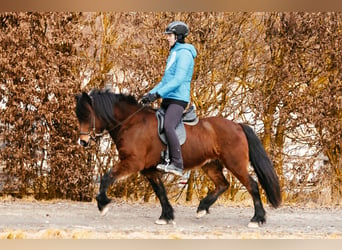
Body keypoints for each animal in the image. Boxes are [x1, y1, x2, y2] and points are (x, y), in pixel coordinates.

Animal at [76, 88, 282, 227]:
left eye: (87, 114)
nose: (83, 142)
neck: (132, 123)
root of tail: (238, 125)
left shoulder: (132, 162)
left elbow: (107, 177)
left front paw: (103, 204)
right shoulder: (149, 169)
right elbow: (160, 191)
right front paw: (166, 216)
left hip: (235, 164)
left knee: (252, 185)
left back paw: (257, 219)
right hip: (210, 165)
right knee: (223, 184)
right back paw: (202, 208)